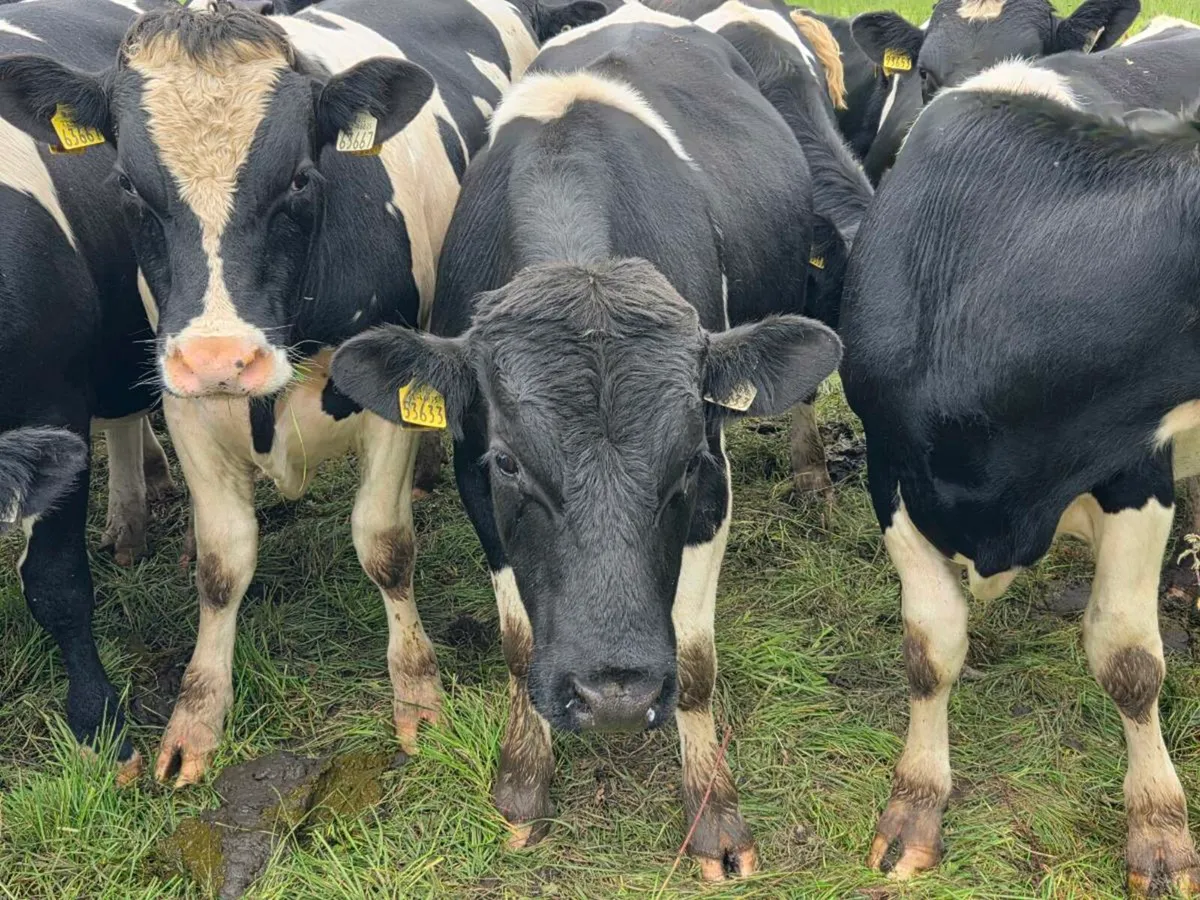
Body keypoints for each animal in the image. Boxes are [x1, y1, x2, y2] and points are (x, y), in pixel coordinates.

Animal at [0, 0, 605, 788]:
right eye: (128, 185)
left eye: (298, 179)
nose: (221, 357)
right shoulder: (187, 405)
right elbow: (223, 565)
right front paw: (196, 718)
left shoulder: (384, 396)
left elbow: (385, 546)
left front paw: (418, 696)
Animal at [330, 1, 842, 878]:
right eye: (508, 460)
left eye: (688, 460)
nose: (615, 696)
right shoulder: (475, 484)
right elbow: (516, 642)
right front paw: (521, 784)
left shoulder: (714, 492)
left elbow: (696, 663)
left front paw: (714, 814)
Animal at [839, 63, 1200, 895]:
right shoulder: (890, 471)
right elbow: (930, 645)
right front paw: (915, 807)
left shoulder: (1138, 470)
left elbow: (1130, 660)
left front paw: (1160, 833)